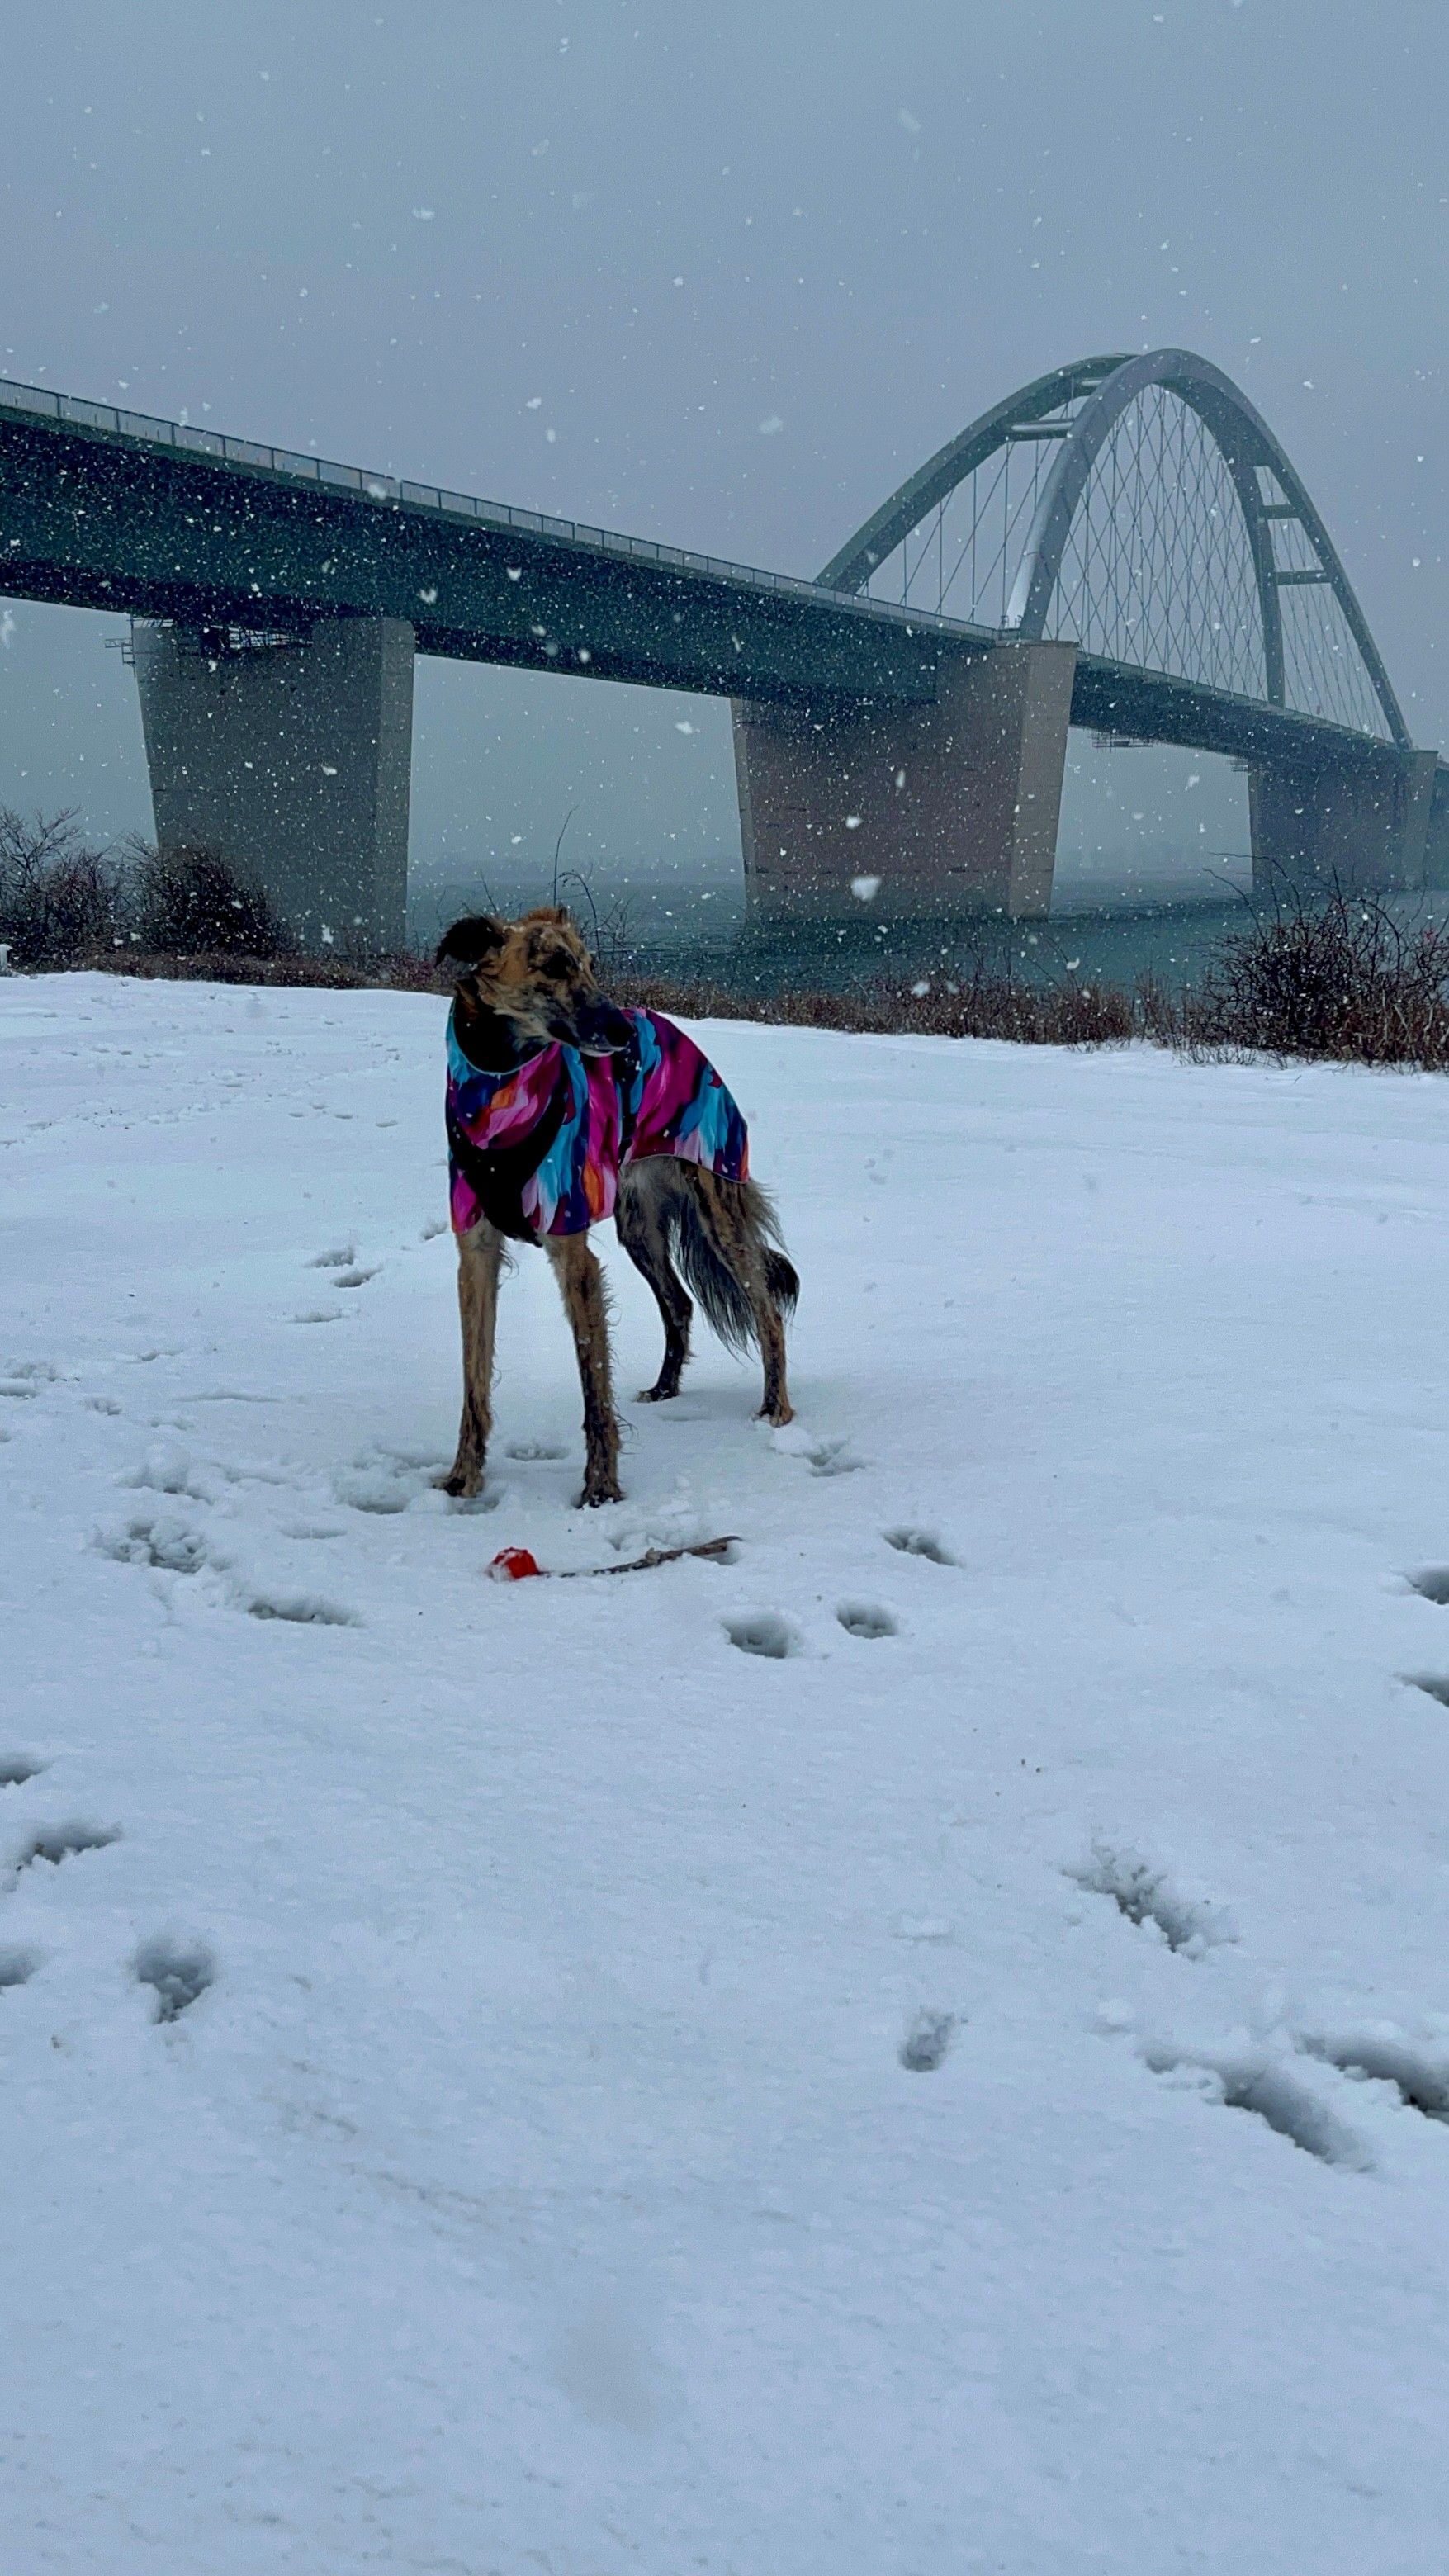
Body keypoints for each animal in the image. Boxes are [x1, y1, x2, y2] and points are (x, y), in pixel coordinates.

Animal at [435, 906, 799, 1506]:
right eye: (554, 965)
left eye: (589, 964)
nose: (623, 1035)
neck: (500, 1092)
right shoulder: (476, 1251)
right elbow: (473, 1380)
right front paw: (463, 1480)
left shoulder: (573, 1250)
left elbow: (593, 1386)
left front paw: (600, 1489)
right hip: (638, 1226)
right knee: (678, 1302)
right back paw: (665, 1388)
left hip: (716, 1204)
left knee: (765, 1307)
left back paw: (776, 1410)